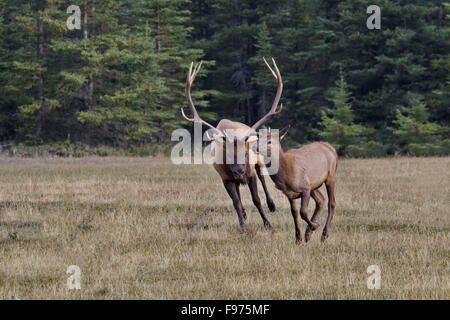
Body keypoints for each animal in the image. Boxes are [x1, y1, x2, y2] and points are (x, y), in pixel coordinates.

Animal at [181, 58, 284, 232]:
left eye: (246, 153)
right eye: (228, 155)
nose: (239, 171)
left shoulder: (250, 173)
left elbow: (256, 199)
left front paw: (268, 225)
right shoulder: (226, 178)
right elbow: (236, 202)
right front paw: (242, 226)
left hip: (258, 161)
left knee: (262, 177)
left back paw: (271, 205)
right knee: (239, 195)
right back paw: (244, 214)